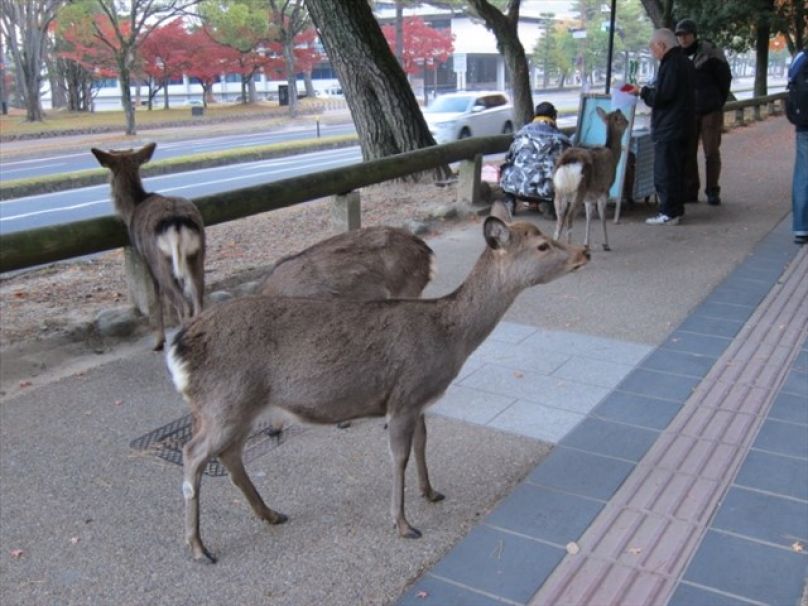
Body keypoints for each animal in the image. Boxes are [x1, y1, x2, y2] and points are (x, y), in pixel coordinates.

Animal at [92, 142, 205, 351]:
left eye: (108, 174)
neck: (132, 209)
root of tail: (177, 222)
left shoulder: (145, 260)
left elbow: (155, 300)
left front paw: (159, 341)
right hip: (197, 254)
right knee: (198, 300)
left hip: (161, 260)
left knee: (184, 305)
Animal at [166, 202, 589, 563]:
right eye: (542, 245)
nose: (583, 252)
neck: (449, 339)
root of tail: (178, 349)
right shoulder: (404, 396)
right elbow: (398, 456)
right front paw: (403, 524)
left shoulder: (419, 399)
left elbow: (422, 443)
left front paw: (430, 492)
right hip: (225, 402)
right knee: (193, 455)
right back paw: (199, 548)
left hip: (234, 408)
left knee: (228, 456)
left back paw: (270, 514)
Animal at [552, 107, 630, 252]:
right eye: (622, 118)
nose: (628, 122)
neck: (613, 155)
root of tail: (566, 162)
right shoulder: (605, 190)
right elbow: (602, 215)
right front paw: (606, 244)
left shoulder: (589, 197)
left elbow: (589, 216)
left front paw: (586, 244)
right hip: (578, 191)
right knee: (569, 218)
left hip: (559, 192)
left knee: (559, 221)